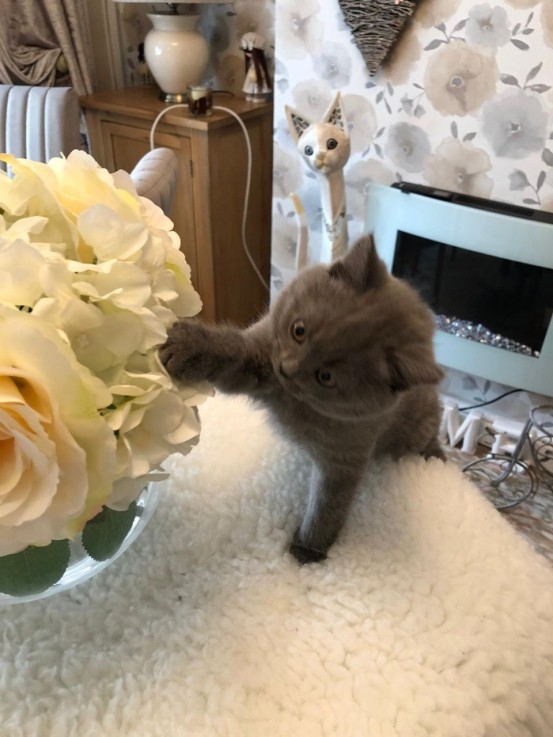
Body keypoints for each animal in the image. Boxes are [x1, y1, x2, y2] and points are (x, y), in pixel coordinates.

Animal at [157, 236, 442, 564]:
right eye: (299, 330)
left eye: (326, 377)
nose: (287, 368)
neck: (294, 399)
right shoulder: (259, 356)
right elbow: (230, 350)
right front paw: (186, 346)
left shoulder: (346, 457)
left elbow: (329, 505)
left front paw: (308, 549)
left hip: (418, 429)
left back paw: (435, 455)